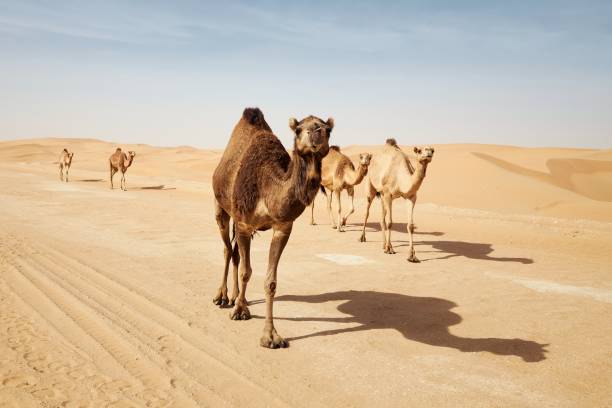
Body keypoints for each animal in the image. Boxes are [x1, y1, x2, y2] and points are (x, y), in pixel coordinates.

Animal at [212, 107, 334, 348]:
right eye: (298, 129)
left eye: (328, 129)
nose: (317, 133)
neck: (267, 189)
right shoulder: (244, 223)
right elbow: (246, 271)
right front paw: (240, 311)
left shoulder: (283, 227)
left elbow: (270, 282)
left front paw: (270, 336)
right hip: (221, 208)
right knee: (227, 250)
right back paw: (223, 297)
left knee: (235, 254)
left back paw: (237, 296)